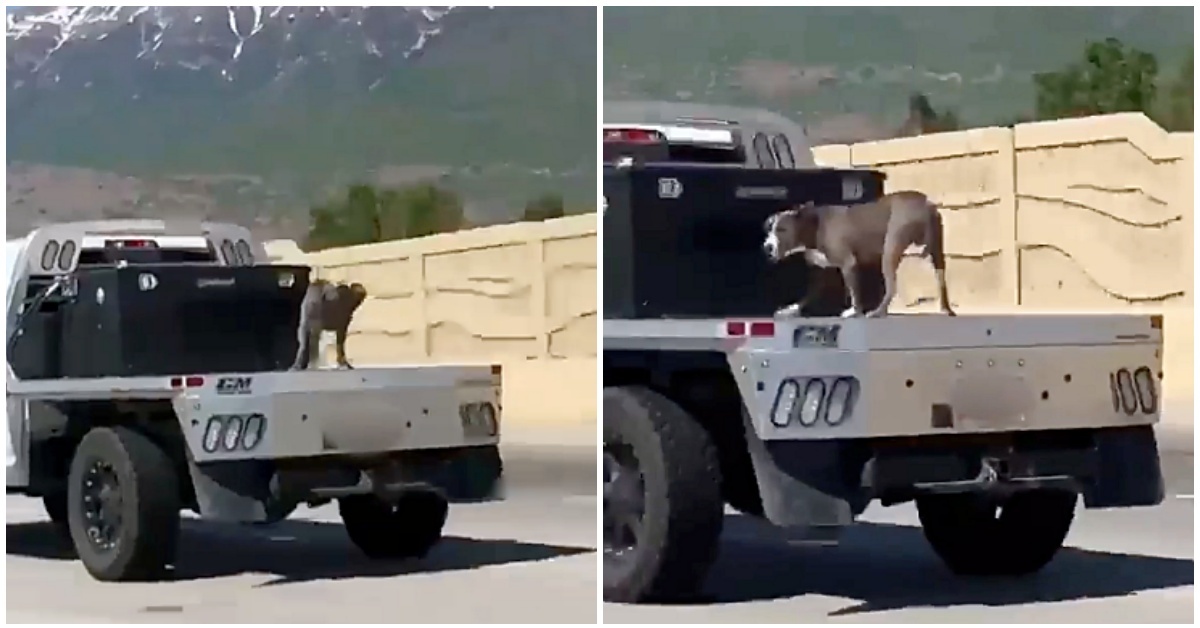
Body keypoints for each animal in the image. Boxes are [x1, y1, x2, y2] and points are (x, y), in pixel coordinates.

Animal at [763, 190, 950, 319]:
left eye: (782, 229)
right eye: (769, 229)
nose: (767, 247)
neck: (813, 224)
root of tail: (925, 203)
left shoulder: (849, 264)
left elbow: (854, 292)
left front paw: (854, 311)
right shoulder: (821, 271)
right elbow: (807, 296)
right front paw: (791, 309)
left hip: (890, 248)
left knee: (891, 287)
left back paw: (878, 312)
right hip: (937, 250)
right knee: (941, 278)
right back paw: (946, 309)